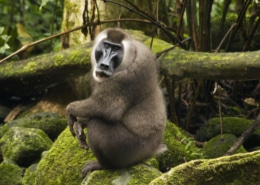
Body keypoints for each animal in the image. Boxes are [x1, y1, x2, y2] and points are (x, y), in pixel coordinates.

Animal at [65, 27, 167, 178]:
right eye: (106, 46)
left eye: (116, 49)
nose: (104, 64)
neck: (129, 56)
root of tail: (153, 149)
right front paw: (80, 125)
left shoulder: (127, 77)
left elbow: (108, 109)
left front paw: (70, 110)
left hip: (131, 148)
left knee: (97, 124)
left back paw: (103, 165)